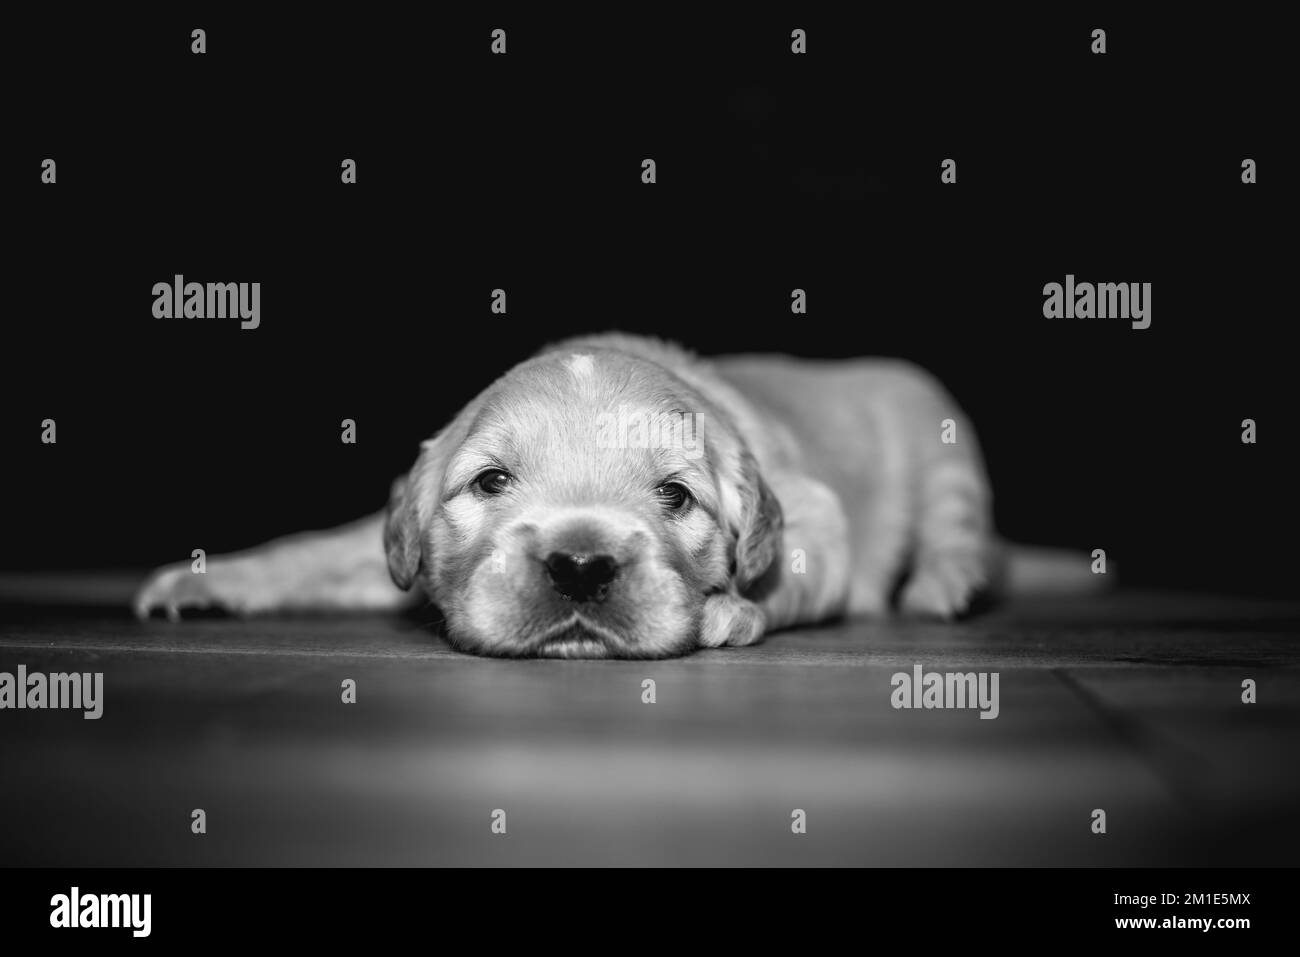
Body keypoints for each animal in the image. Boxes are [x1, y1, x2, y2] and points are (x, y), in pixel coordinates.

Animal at [134, 332, 1097, 655]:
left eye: (676, 496)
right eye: (490, 481)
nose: (580, 565)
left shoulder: (816, 517)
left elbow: (790, 575)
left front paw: (729, 610)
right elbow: (318, 552)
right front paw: (204, 579)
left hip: (941, 441)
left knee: (961, 534)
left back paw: (945, 582)